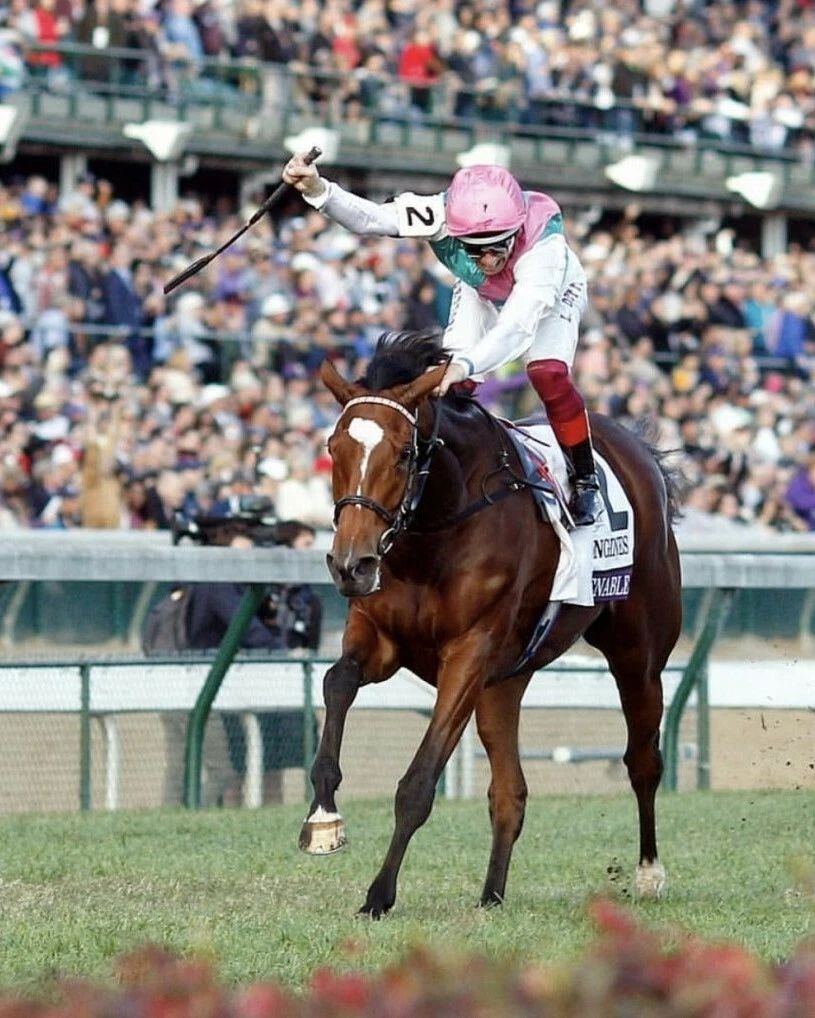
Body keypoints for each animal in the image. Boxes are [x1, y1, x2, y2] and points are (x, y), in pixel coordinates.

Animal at [300, 330, 682, 918]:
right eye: (332, 447)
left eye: (404, 453)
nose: (351, 564)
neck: (435, 530)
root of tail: (641, 453)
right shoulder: (379, 637)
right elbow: (336, 681)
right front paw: (322, 817)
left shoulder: (469, 652)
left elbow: (416, 785)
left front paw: (379, 894)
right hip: (506, 681)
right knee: (510, 792)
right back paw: (492, 894)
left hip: (638, 656)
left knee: (643, 760)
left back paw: (648, 874)